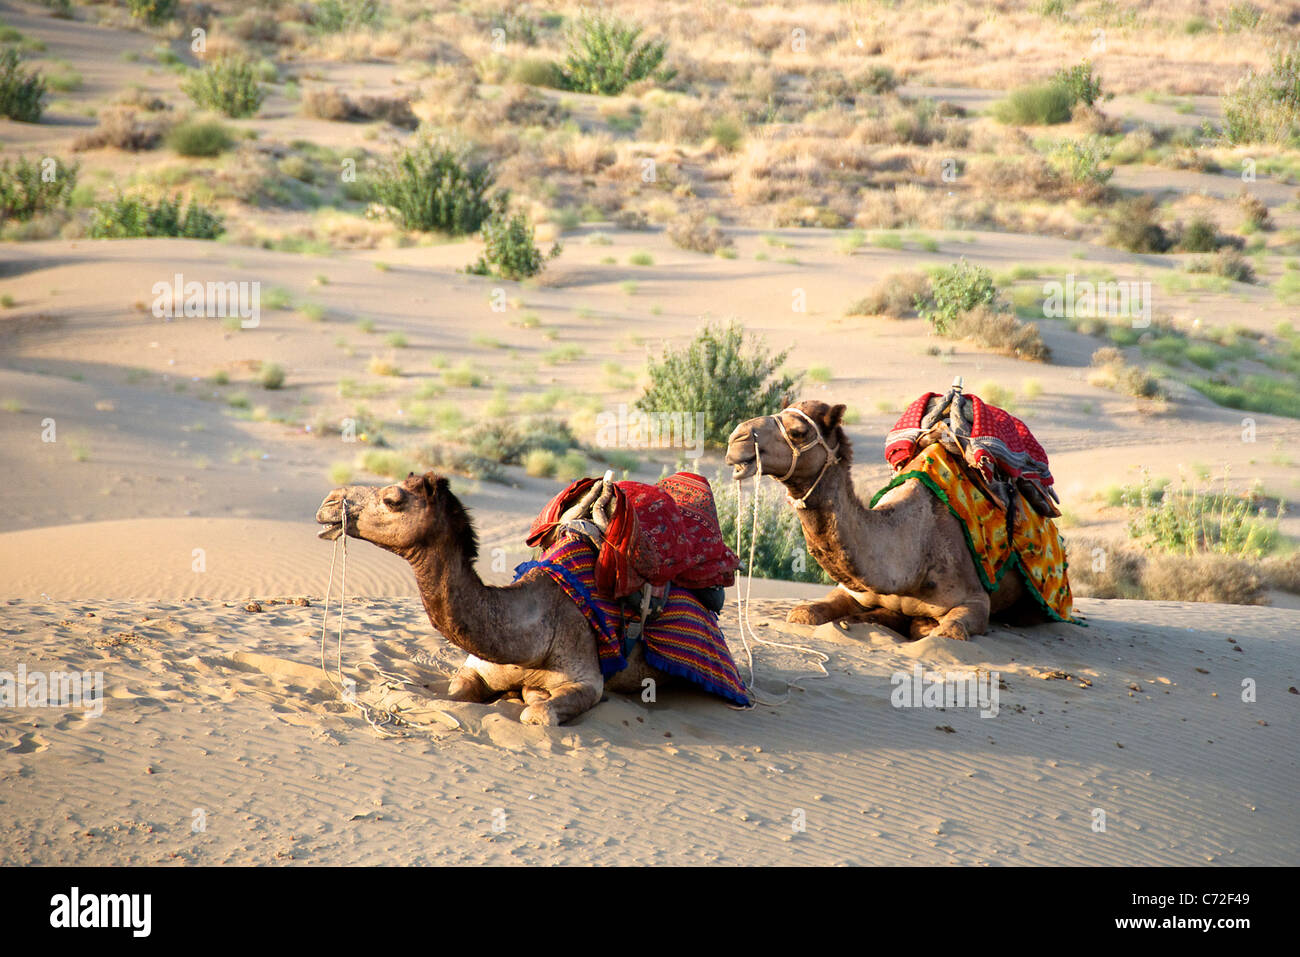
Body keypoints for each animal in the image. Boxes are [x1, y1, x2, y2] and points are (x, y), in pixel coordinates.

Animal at [312, 470, 660, 722]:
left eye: (392, 499)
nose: (329, 502)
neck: (537, 634)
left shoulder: (587, 679)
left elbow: (537, 714)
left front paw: (529, 696)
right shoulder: (475, 669)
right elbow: (453, 696)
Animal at [722, 400, 1045, 639]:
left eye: (798, 432)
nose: (737, 438)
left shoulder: (976, 599)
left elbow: (948, 631)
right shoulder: (852, 589)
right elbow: (803, 613)